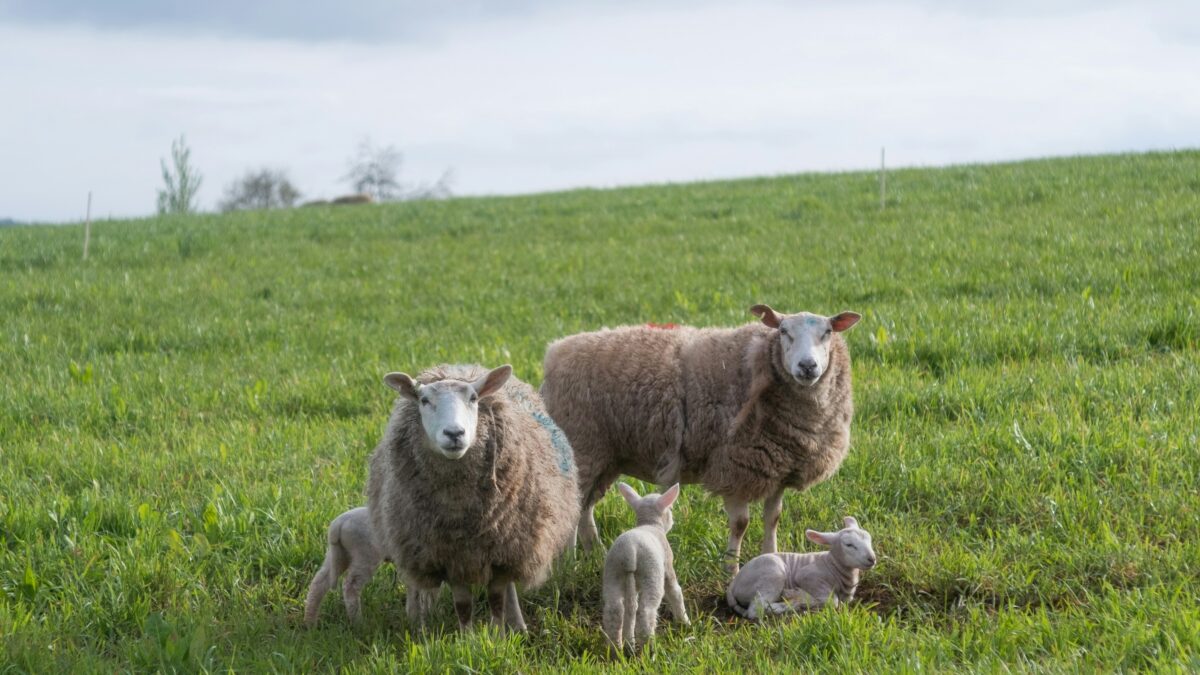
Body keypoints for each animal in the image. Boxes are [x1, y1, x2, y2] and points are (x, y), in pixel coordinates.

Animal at [367, 362, 583, 629]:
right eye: (424, 400)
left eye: (473, 398)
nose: (454, 433)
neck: (458, 509)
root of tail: (459, 366)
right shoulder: (450, 557)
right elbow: (463, 606)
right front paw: (467, 636)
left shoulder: (502, 551)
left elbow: (497, 599)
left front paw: (499, 633)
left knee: (509, 589)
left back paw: (518, 626)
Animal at [544, 302, 864, 569]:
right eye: (784, 332)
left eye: (827, 333)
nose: (807, 366)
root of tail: (555, 351)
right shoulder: (734, 465)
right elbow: (741, 523)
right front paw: (731, 569)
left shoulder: (777, 467)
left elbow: (773, 518)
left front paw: (770, 556)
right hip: (583, 446)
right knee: (573, 506)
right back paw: (569, 564)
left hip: (606, 456)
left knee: (585, 506)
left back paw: (593, 551)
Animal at [604, 480, 691, 648]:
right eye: (670, 509)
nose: (673, 520)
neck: (650, 523)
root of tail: (630, 550)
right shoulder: (667, 564)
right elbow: (675, 592)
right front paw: (685, 622)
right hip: (652, 573)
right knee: (646, 611)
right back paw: (649, 647)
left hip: (613, 571)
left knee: (615, 610)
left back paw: (616, 648)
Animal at [724, 511, 878, 619]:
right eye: (849, 545)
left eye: (869, 539)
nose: (872, 559)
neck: (833, 566)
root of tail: (734, 583)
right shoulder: (807, 575)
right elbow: (832, 600)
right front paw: (799, 596)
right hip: (772, 574)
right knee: (756, 609)